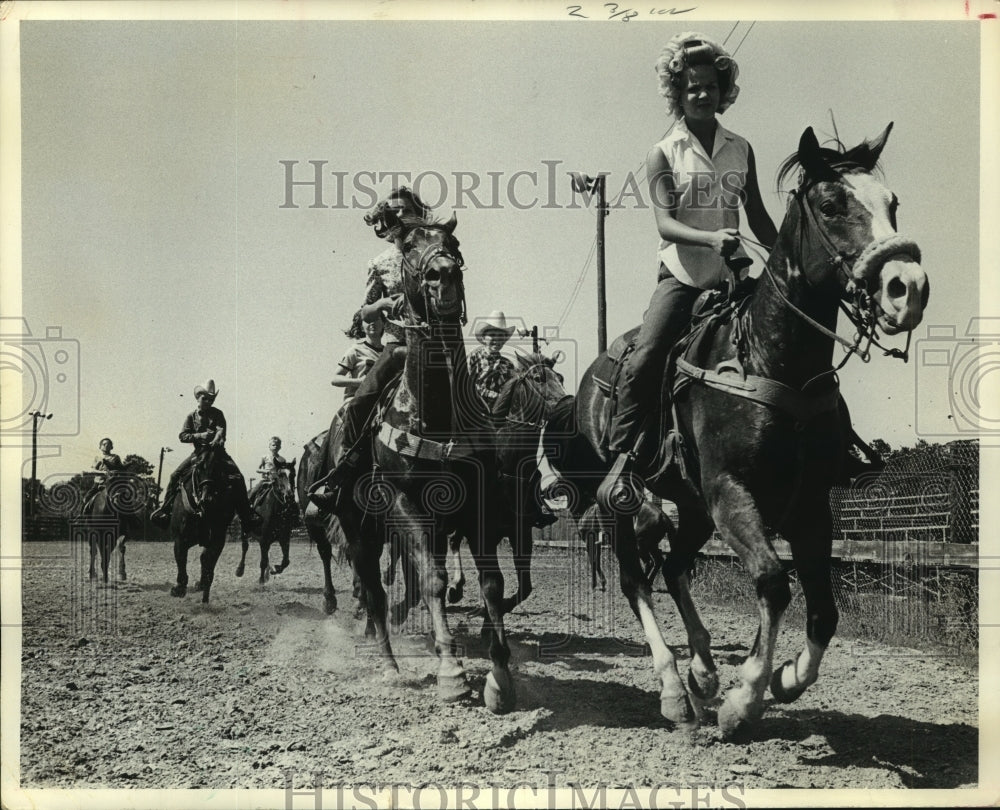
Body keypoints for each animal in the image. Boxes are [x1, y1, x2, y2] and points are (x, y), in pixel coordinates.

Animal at [169, 446, 239, 604]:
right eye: (199, 467)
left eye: (219, 469)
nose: (208, 498)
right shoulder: (180, 539)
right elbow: (181, 561)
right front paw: (179, 588)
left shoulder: (217, 541)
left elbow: (208, 563)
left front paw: (203, 590)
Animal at [322, 213, 520, 708]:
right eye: (409, 245)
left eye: (453, 242)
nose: (442, 274)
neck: (438, 414)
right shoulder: (403, 502)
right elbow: (431, 580)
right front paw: (451, 672)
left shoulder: (476, 509)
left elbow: (492, 584)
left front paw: (499, 678)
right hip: (358, 526)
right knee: (373, 591)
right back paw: (390, 666)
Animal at [576, 123, 932, 736]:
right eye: (831, 205)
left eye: (893, 204)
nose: (908, 287)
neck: (768, 358)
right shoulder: (731, 494)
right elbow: (771, 581)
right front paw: (745, 699)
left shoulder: (808, 505)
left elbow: (824, 609)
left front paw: (784, 680)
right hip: (625, 501)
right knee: (635, 579)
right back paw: (675, 689)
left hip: (691, 505)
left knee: (673, 567)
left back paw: (702, 672)